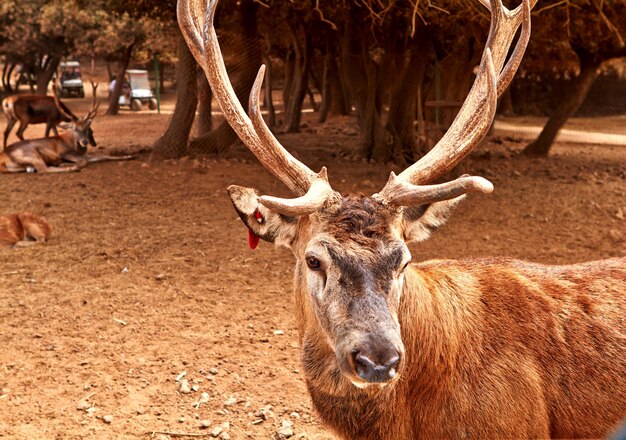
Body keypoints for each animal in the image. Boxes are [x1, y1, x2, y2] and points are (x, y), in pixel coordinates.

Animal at [0, 85, 135, 174]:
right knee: (43, 170)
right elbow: (85, 161)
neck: (76, 147)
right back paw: (72, 167)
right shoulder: (64, 152)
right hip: (32, 154)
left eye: (87, 128)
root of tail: (2, 160)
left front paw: (129, 156)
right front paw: (68, 163)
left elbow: (104, 155)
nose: (85, 141)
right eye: (74, 129)